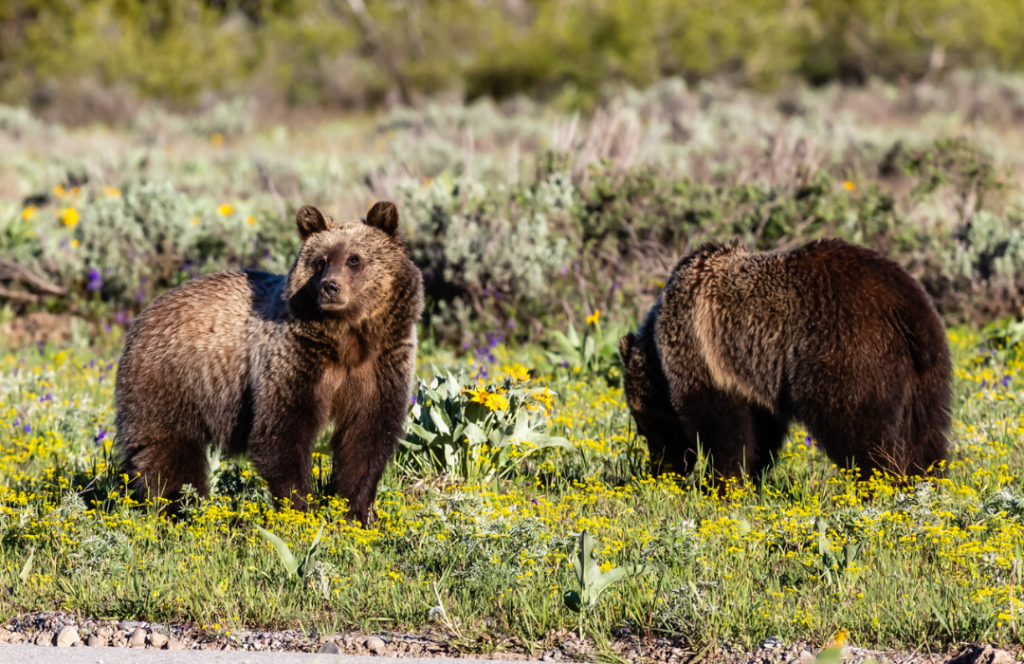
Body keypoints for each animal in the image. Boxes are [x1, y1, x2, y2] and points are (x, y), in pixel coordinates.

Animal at [115, 201, 423, 524]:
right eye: (320, 261)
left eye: (354, 259)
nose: (330, 287)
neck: (346, 340)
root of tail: (143, 315)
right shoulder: (296, 358)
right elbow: (281, 432)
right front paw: (302, 508)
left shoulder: (380, 363)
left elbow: (367, 436)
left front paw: (356, 511)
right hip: (171, 380)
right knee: (168, 448)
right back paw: (180, 507)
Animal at [619, 239, 951, 483]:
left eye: (643, 423)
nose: (661, 470)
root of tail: (907, 308)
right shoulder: (750, 379)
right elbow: (759, 434)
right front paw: (750, 478)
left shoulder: (707, 361)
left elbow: (722, 430)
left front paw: (721, 484)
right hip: (927, 373)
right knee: (927, 433)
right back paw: (926, 482)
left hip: (847, 352)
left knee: (861, 429)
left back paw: (880, 484)